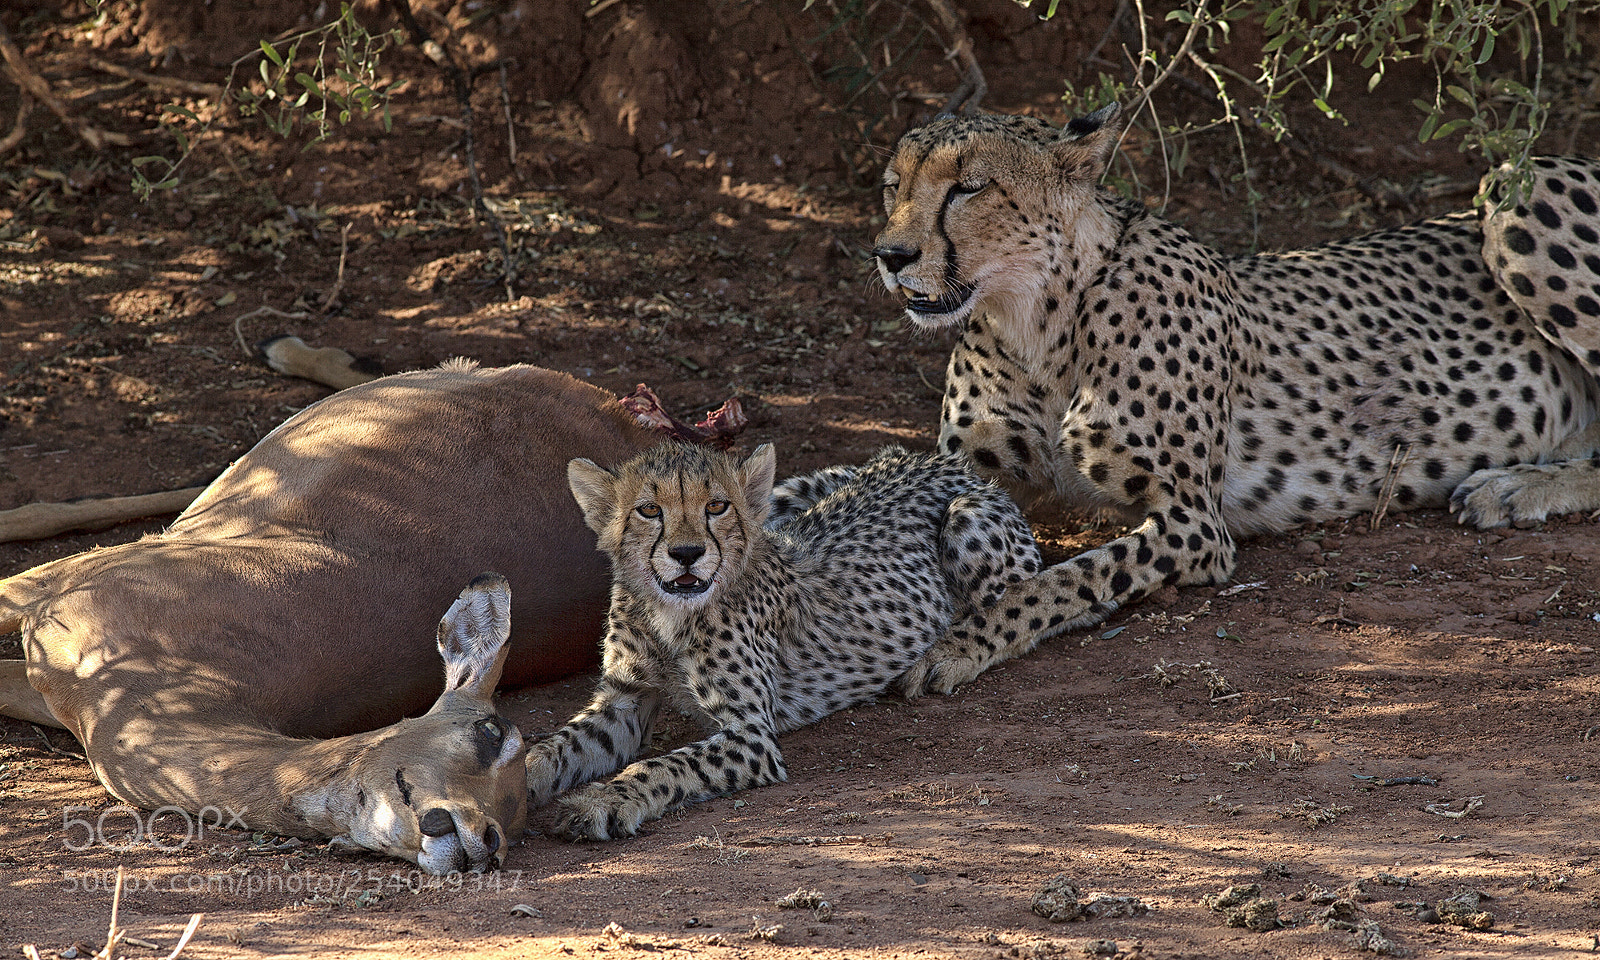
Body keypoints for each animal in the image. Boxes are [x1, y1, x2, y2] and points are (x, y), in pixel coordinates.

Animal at [525, 441, 1041, 840]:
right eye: (649, 510)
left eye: (717, 506)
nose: (687, 553)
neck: (669, 610)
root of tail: (935, 459)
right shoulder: (625, 699)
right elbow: (555, 747)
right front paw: (520, 780)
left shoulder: (752, 737)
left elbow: (665, 765)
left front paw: (606, 801)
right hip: (787, 490)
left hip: (966, 519)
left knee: (1033, 595)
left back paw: (946, 654)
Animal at [871, 101, 1600, 697]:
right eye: (892, 187)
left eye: (968, 187)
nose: (889, 254)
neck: (1037, 318)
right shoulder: (963, 466)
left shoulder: (1195, 524)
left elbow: (1058, 582)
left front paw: (956, 645)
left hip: (1514, 192)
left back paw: (1513, 487)